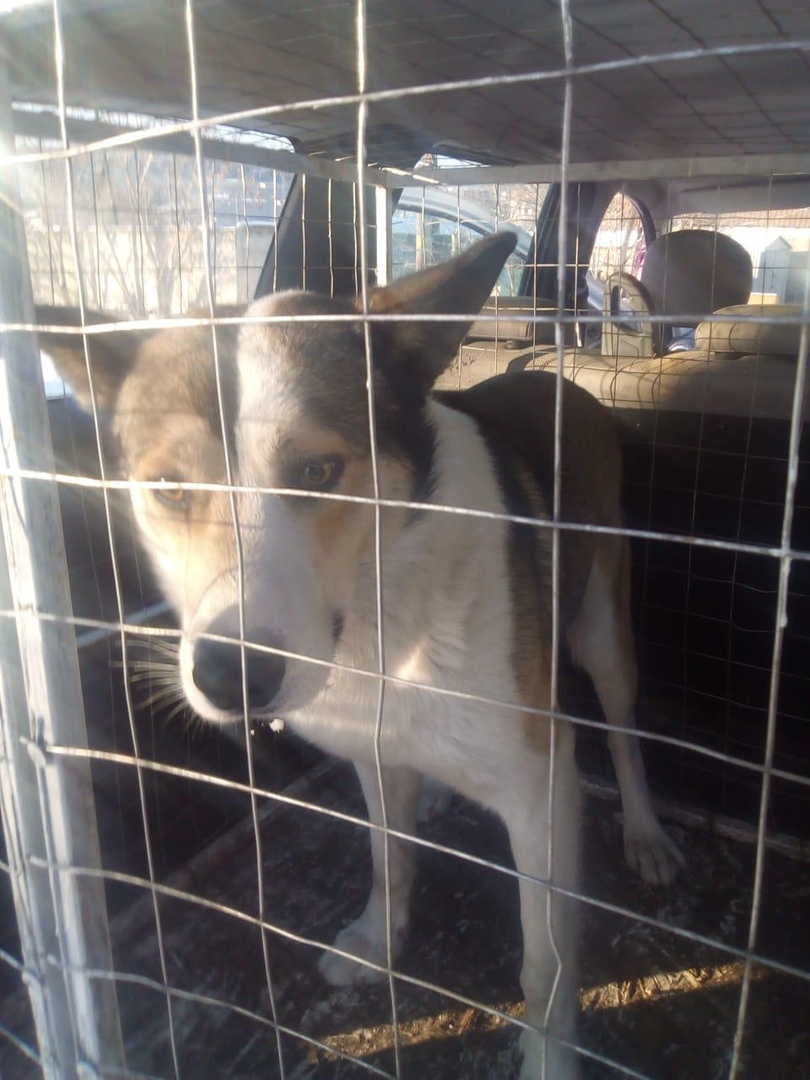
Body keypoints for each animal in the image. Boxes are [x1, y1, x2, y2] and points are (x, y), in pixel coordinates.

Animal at [43, 232, 682, 1079]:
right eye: (170, 489)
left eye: (316, 472)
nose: (230, 677)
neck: (382, 621)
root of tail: (553, 374)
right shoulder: (374, 753)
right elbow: (387, 858)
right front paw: (380, 942)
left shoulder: (540, 788)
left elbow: (544, 968)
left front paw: (548, 1056)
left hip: (603, 627)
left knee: (623, 730)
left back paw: (645, 832)